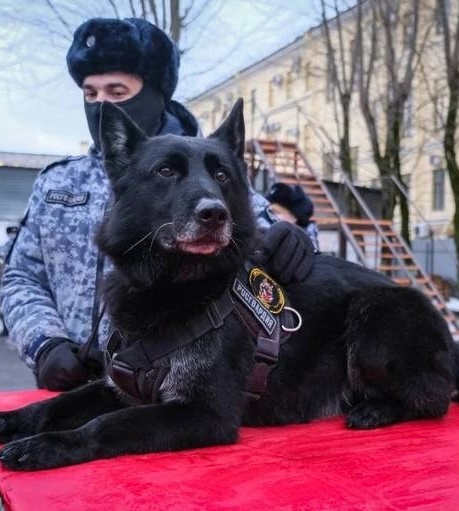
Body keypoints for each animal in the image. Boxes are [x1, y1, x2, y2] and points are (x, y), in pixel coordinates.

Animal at [0, 97, 459, 472]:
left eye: (221, 175)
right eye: (165, 171)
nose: (214, 214)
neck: (171, 287)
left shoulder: (204, 413)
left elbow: (104, 425)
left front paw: (48, 445)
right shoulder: (120, 386)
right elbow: (55, 403)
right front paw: (14, 422)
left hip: (375, 316)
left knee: (434, 396)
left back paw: (375, 409)